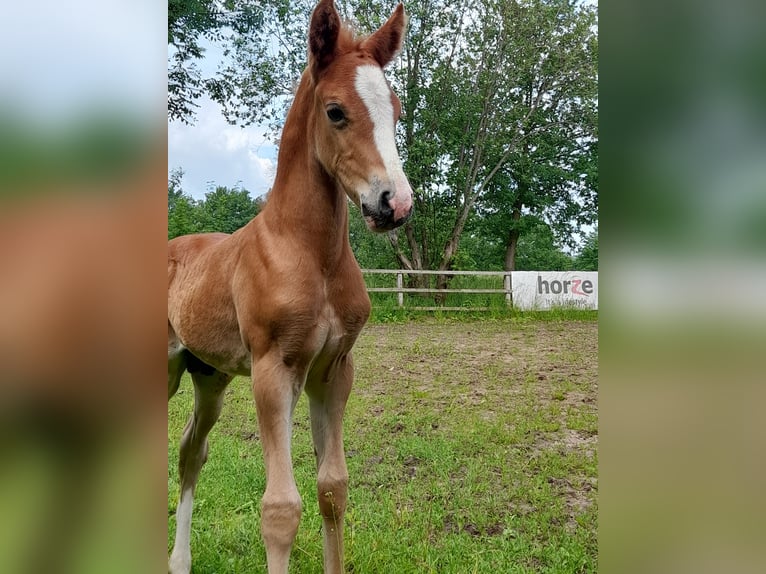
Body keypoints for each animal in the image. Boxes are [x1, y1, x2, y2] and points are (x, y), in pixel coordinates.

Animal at [167, 1, 412, 572]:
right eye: (336, 111)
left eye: (394, 110)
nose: (395, 203)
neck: (310, 256)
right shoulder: (272, 370)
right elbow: (280, 508)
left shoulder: (332, 370)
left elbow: (332, 488)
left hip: (209, 376)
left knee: (191, 450)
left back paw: (179, 561)